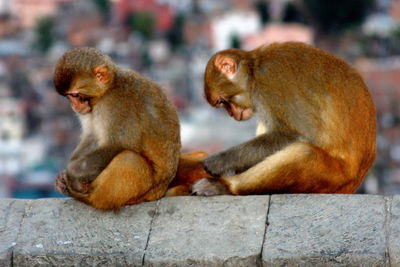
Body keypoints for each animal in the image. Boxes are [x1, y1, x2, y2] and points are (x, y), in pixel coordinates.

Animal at [53, 48, 184, 211]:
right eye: (68, 97)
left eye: (76, 95)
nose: (74, 106)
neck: (109, 88)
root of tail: (159, 193)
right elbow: (92, 136)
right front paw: (64, 176)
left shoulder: (117, 103)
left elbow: (119, 144)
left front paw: (71, 174)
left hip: (146, 191)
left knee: (129, 159)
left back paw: (91, 199)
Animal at [192, 42, 376, 197]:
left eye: (222, 102)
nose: (232, 114)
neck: (254, 70)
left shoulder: (271, 81)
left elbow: (298, 135)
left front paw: (219, 161)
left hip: (334, 179)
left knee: (304, 152)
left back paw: (226, 187)